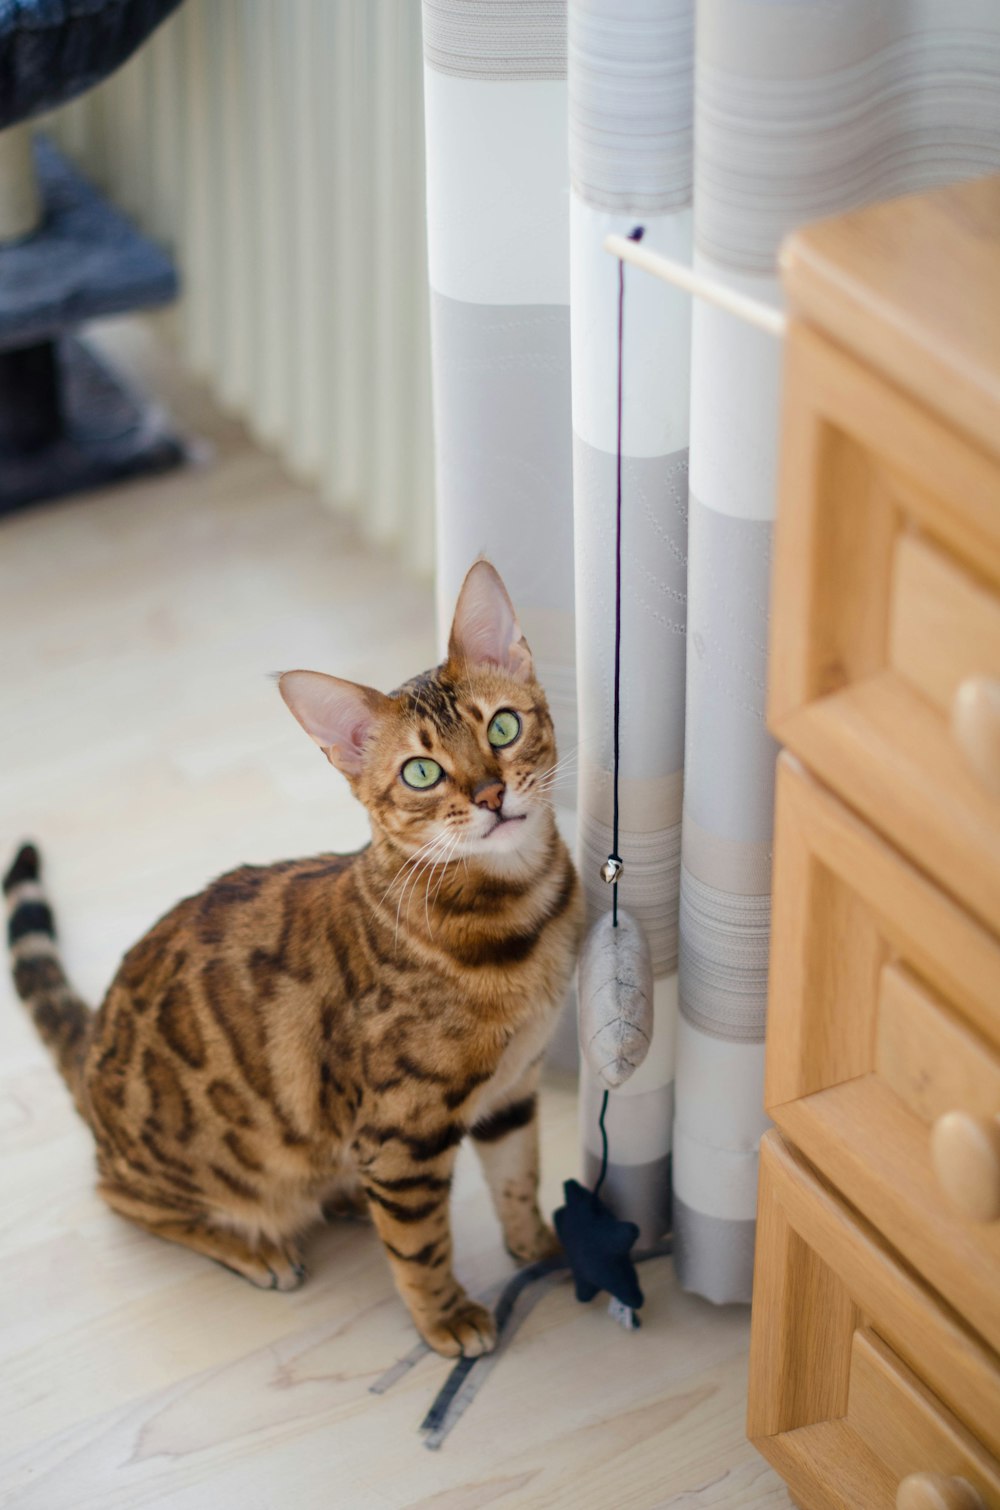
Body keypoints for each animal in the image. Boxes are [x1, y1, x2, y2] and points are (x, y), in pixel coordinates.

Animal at [3, 564, 583, 1359]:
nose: (491, 794)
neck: (520, 925)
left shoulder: (511, 1090)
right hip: (215, 1167)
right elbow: (421, 1247)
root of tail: (93, 1046)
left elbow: (518, 1180)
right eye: (422, 772)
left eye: (503, 726)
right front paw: (446, 1317)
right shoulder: (404, 1132)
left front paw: (539, 1250)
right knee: (120, 1194)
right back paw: (258, 1249)